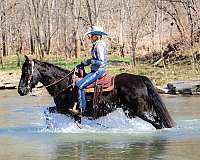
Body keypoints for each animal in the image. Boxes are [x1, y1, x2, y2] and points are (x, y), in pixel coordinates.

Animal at [18, 56, 176, 129]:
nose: (20, 90)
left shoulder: (66, 110)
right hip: (132, 112)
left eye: (26, 72)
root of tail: (140, 78)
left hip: (138, 111)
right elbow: (48, 111)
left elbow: (48, 112)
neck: (65, 85)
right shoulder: (66, 111)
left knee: (157, 123)